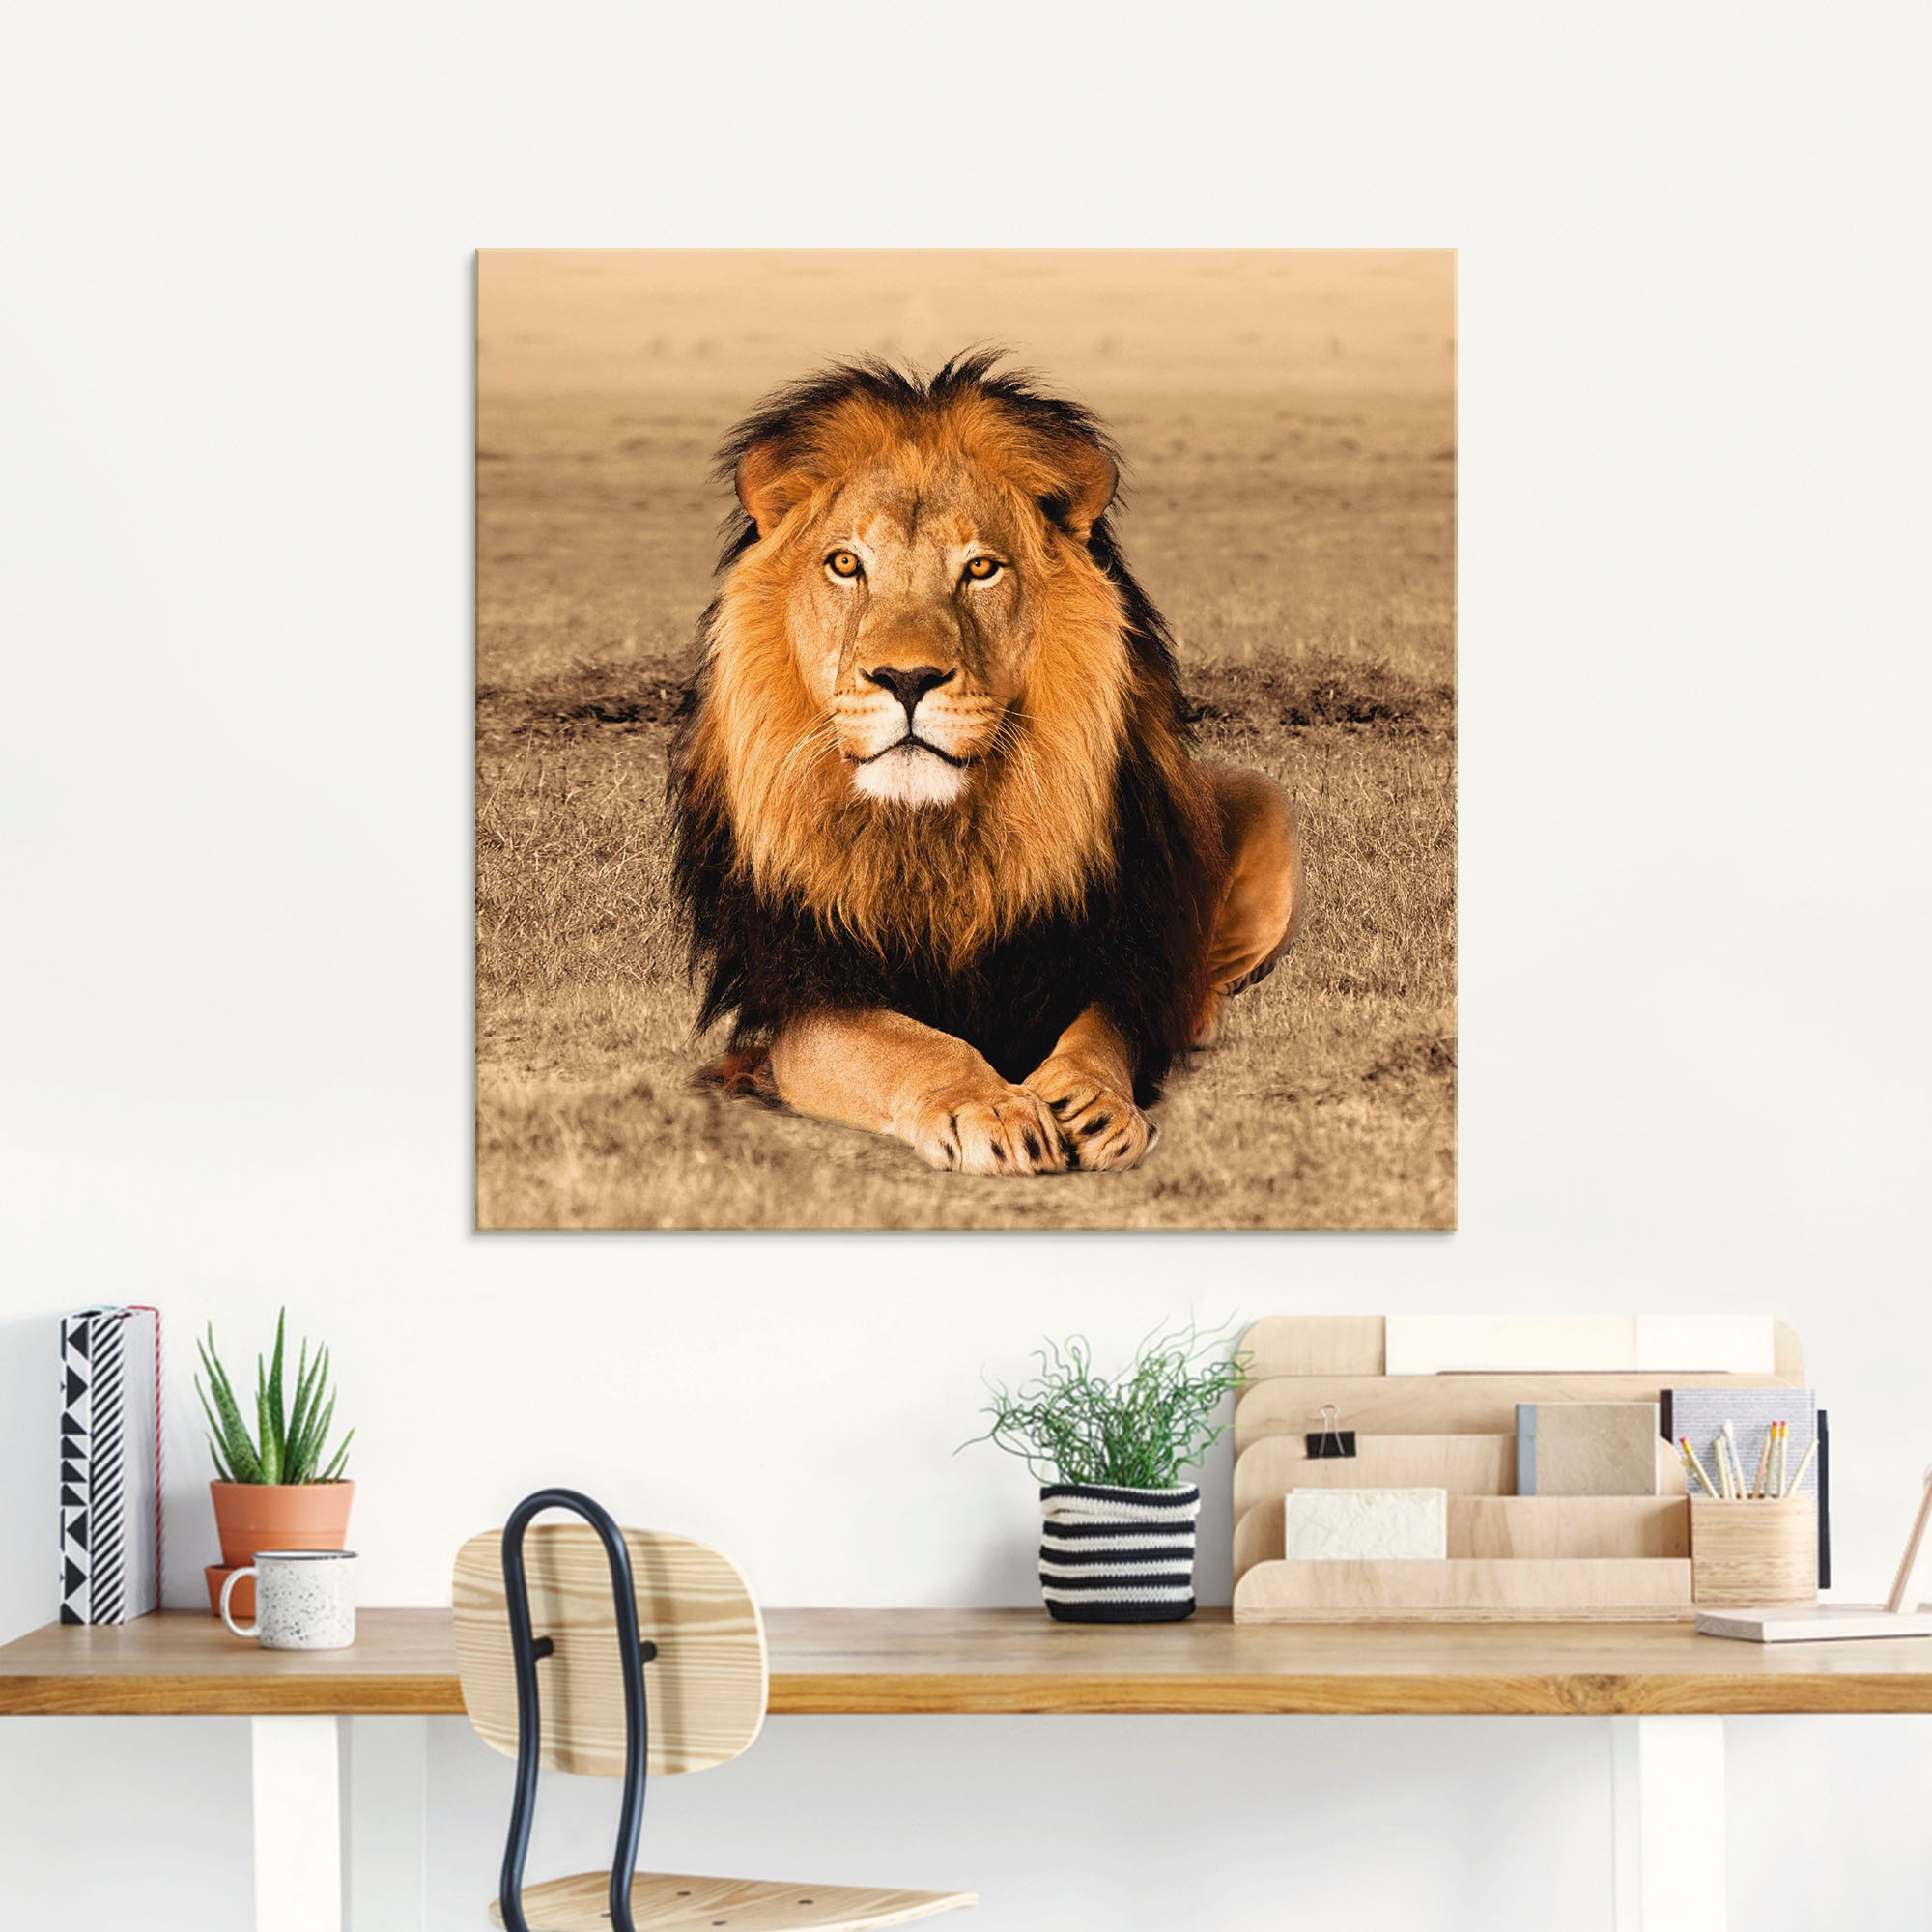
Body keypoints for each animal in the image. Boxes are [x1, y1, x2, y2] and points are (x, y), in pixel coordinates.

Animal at [669, 352, 1301, 1175]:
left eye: (980, 569)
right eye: (845, 564)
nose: (907, 679)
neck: (934, 836)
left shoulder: (1104, 955)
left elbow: (1102, 1033)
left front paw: (1091, 1100)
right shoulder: (806, 990)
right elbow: (909, 1044)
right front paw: (993, 1106)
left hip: (1263, 801)